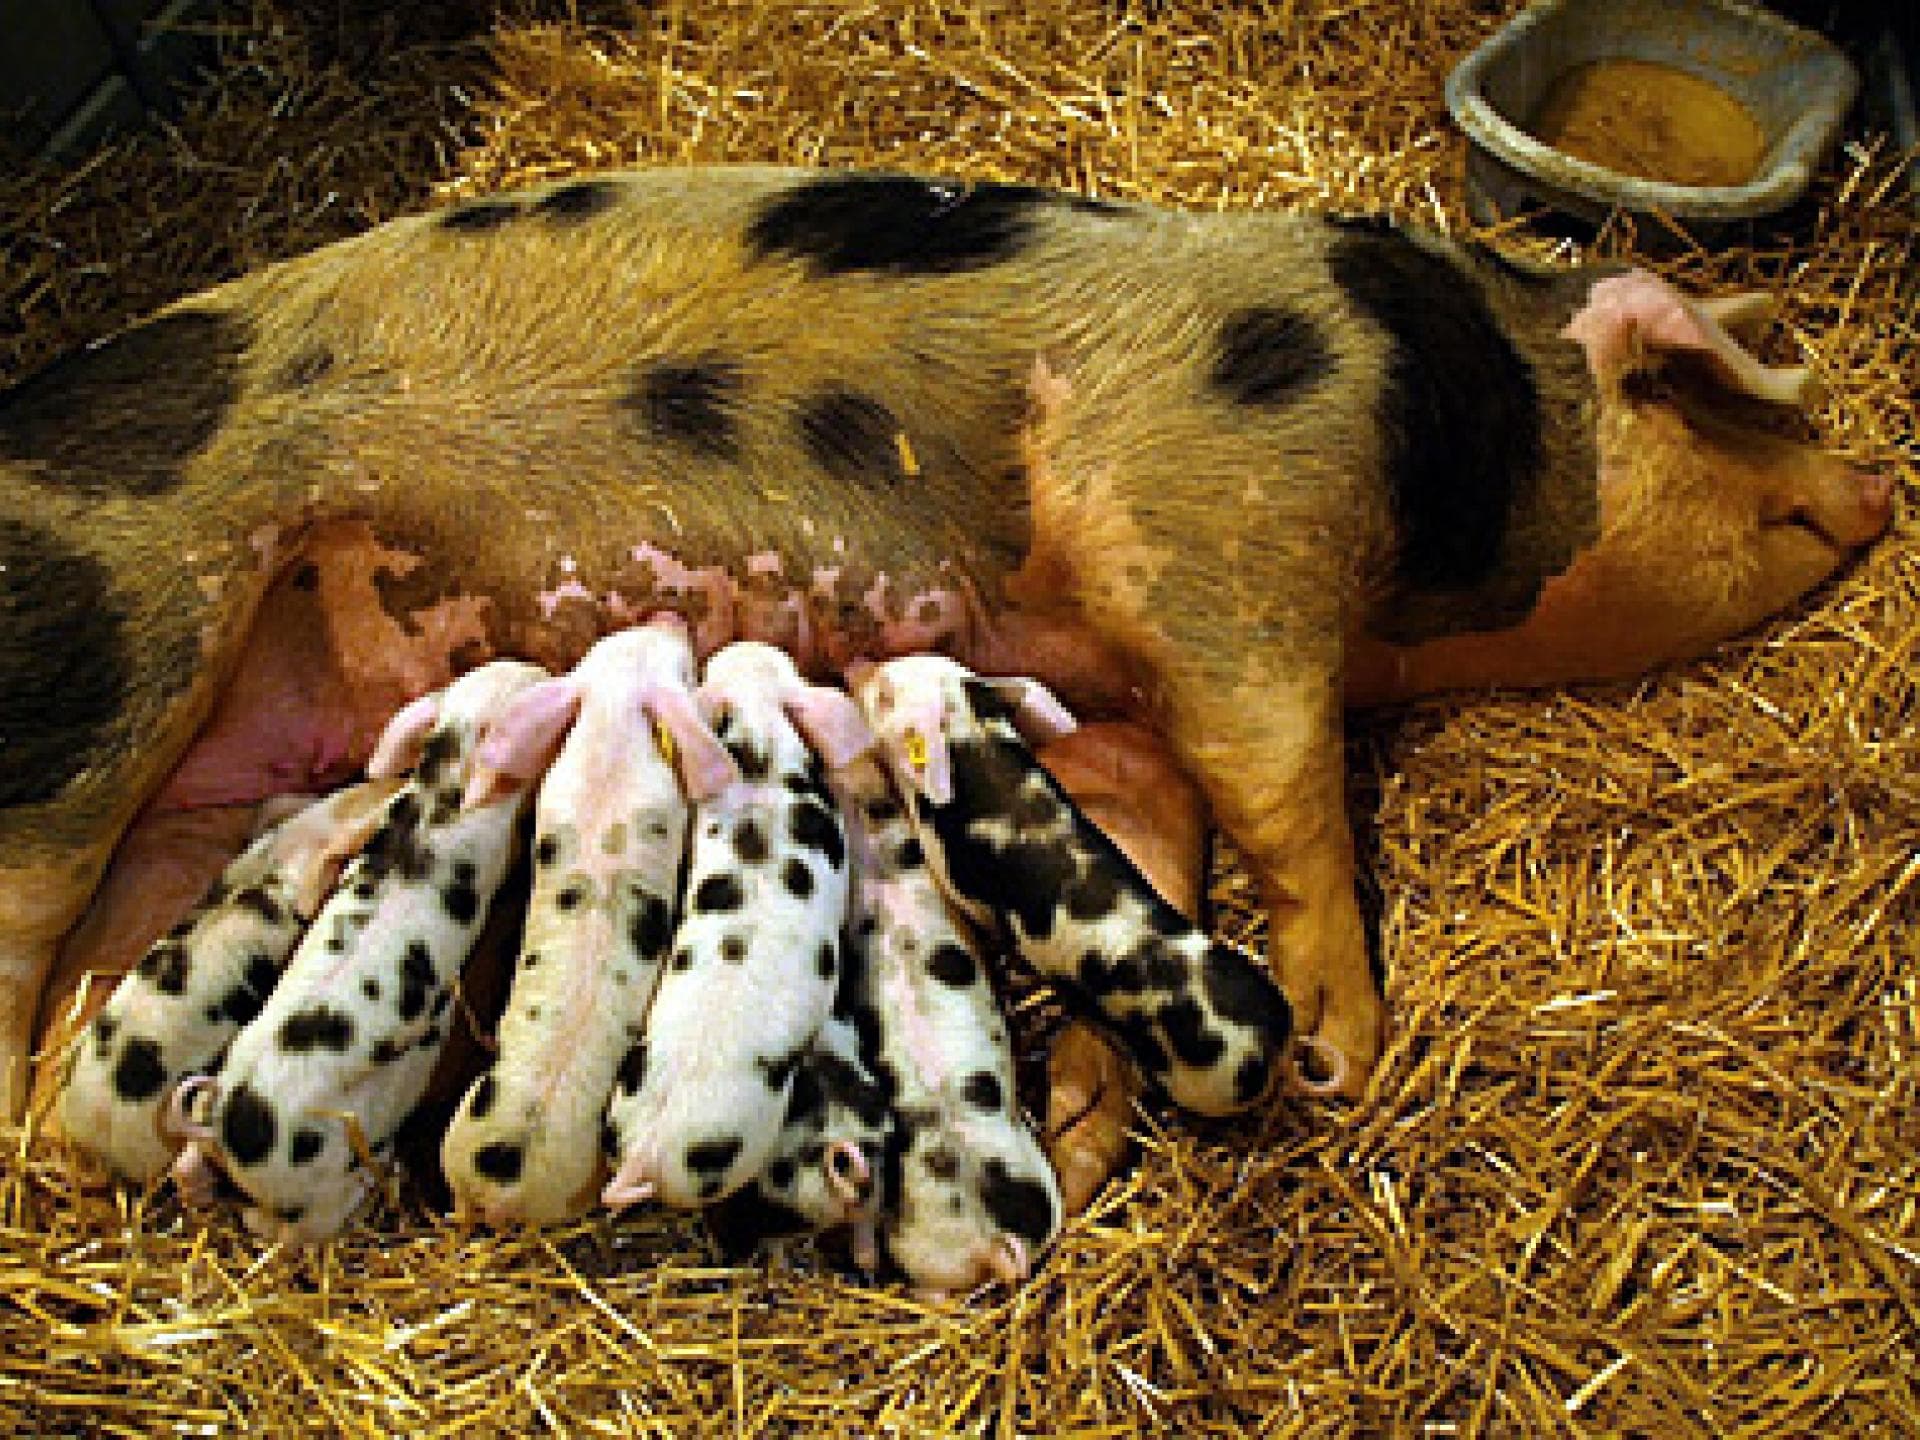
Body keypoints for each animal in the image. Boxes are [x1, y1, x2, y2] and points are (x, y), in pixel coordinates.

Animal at [167, 660, 547, 1243]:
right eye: (533, 688)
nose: (545, 666)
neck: (443, 792)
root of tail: (231, 1130)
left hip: (211, 1105)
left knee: (186, 1167)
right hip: (319, 1190)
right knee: (283, 1228)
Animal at [852, 656, 1343, 1118]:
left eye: (885, 694)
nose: (855, 666)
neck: (973, 744)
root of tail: (1275, 1052)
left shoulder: (961, 886)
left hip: (1200, 1087)